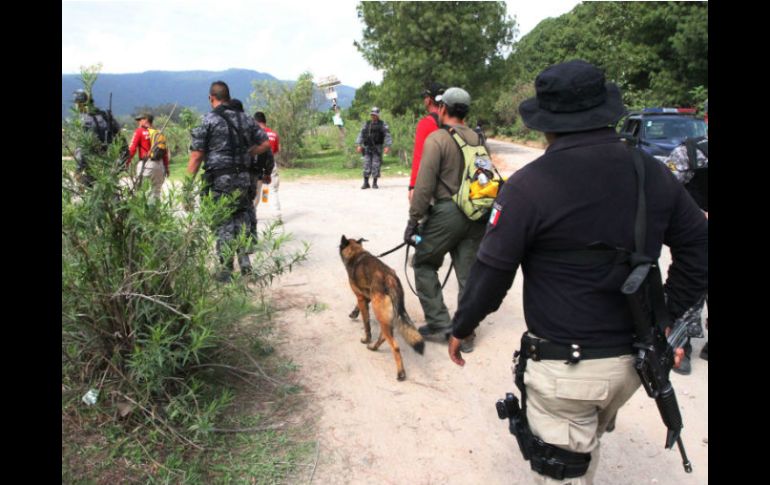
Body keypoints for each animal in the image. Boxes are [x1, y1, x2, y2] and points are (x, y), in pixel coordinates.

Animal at [340, 236, 426, 380]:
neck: (356, 253)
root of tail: (390, 279)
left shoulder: (361, 297)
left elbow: (366, 323)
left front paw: (366, 338)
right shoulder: (367, 296)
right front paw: (354, 313)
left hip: (378, 311)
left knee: (394, 345)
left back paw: (401, 372)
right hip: (383, 314)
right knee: (384, 335)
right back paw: (374, 347)